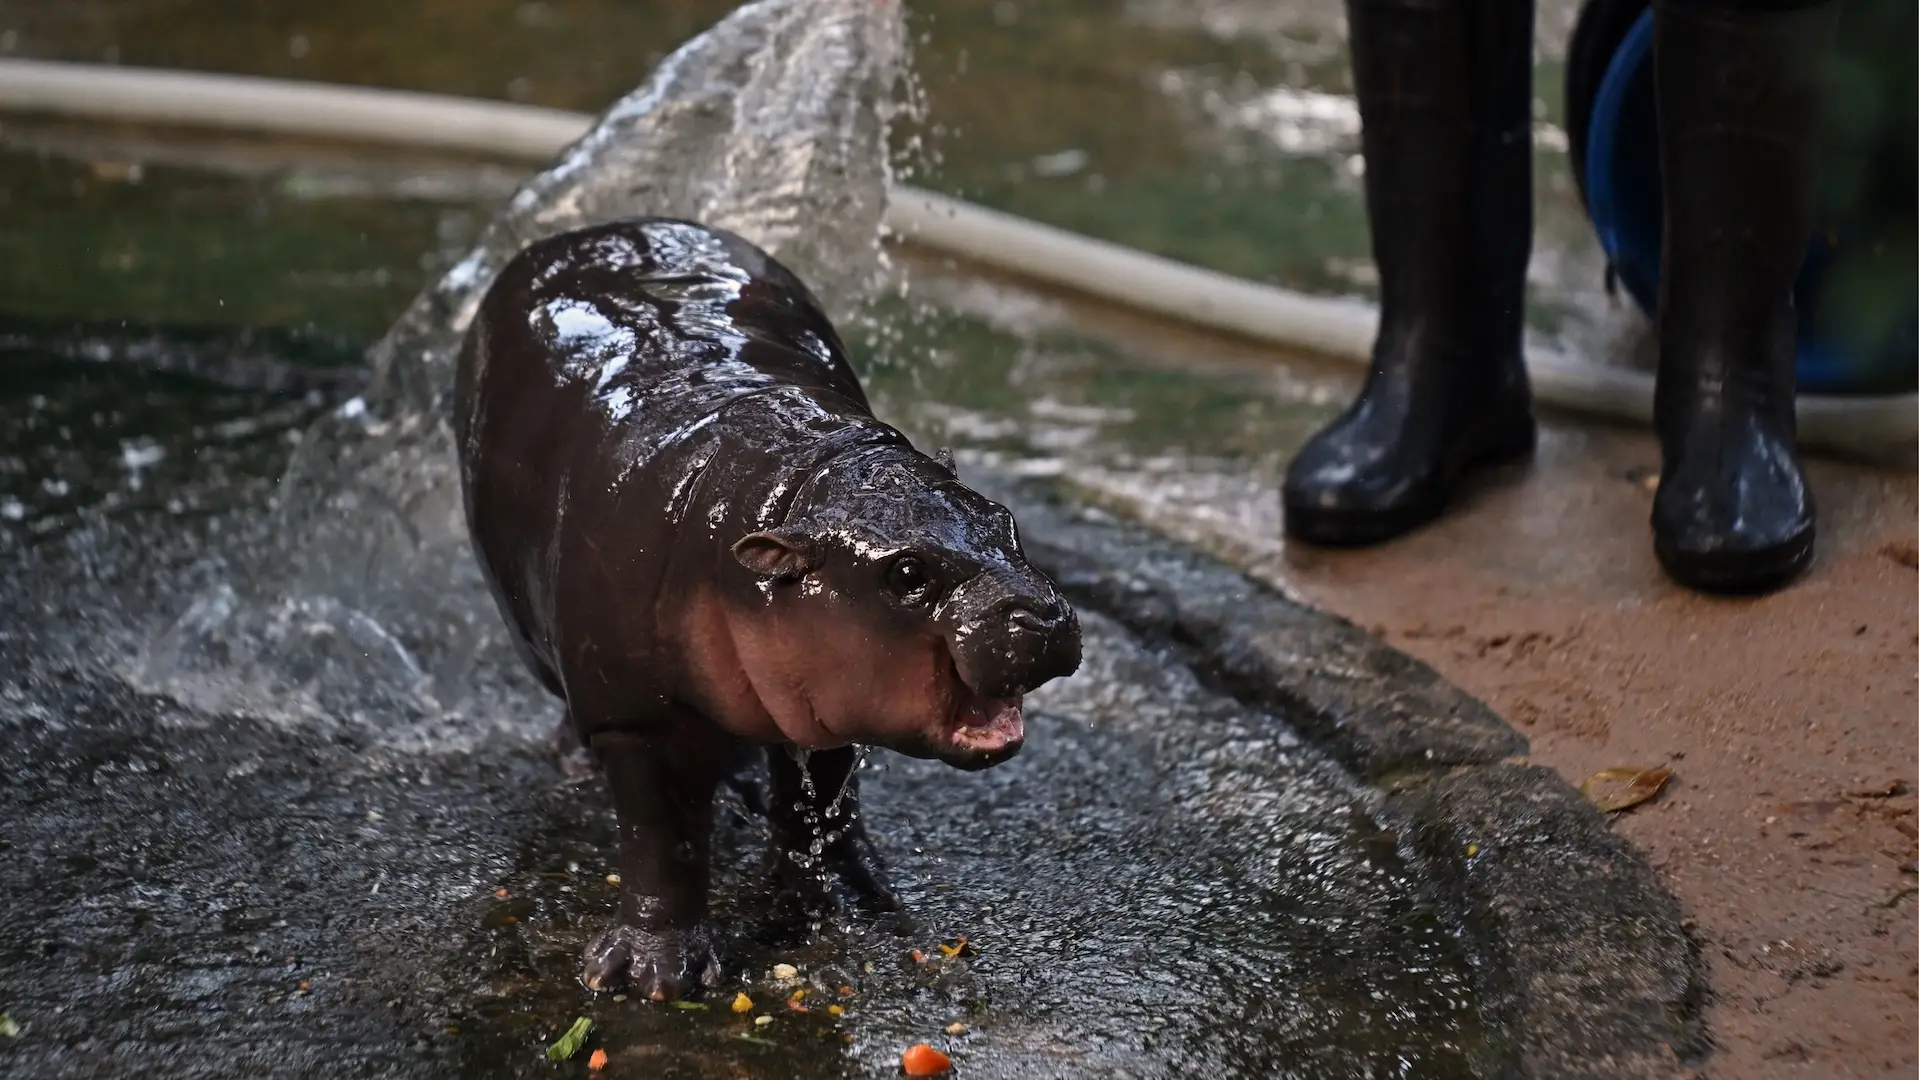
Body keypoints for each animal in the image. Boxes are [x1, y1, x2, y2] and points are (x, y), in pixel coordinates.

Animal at [452, 217, 1082, 1000]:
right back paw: (578, 765)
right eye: (907, 573)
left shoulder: (831, 693)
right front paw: (652, 977)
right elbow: (663, 836)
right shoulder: (638, 715)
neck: (789, 487)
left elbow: (823, 798)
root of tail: (597, 229)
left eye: (1005, 520)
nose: (1042, 616)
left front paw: (848, 899)